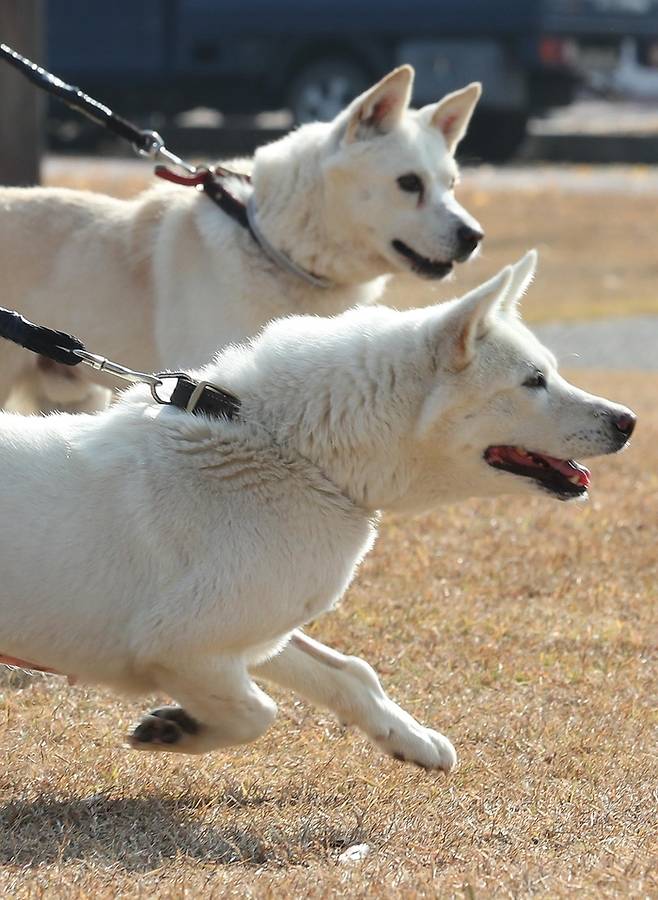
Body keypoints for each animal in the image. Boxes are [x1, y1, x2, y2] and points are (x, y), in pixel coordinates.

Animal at [0, 250, 632, 768]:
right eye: (534, 381)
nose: (628, 421)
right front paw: (177, 729)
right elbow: (260, 713)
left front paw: (413, 740)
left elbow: (353, 675)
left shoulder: (257, 637)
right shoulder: (182, 650)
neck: (295, 454)